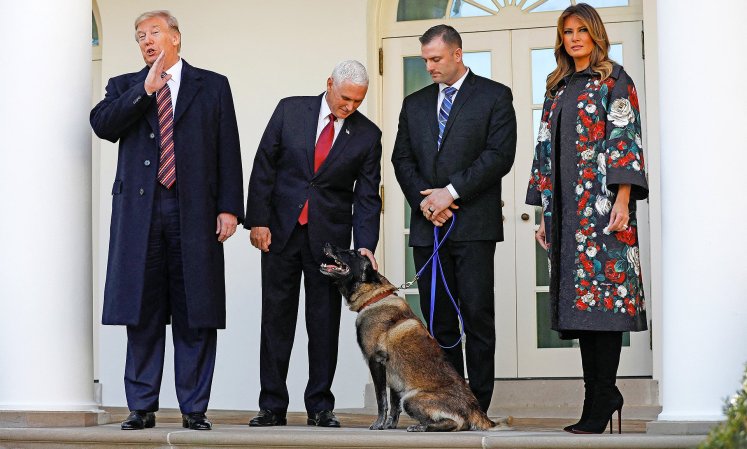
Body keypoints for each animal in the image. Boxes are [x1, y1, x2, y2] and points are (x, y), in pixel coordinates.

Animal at [318, 243, 500, 432]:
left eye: (352, 253)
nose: (327, 244)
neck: (375, 297)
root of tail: (475, 409)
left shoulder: (376, 362)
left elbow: (381, 399)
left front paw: (378, 424)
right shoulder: (394, 377)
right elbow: (393, 403)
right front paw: (389, 425)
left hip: (411, 398)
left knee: (455, 423)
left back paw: (421, 427)